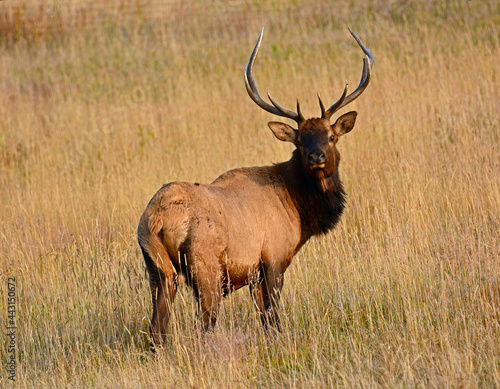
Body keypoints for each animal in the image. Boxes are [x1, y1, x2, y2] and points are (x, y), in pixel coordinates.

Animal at [139, 28, 374, 348]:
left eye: (331, 136)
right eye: (300, 141)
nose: (317, 157)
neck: (298, 209)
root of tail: (158, 218)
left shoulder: (255, 274)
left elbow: (265, 320)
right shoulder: (273, 258)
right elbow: (273, 319)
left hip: (157, 269)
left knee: (156, 329)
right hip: (205, 269)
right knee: (204, 326)